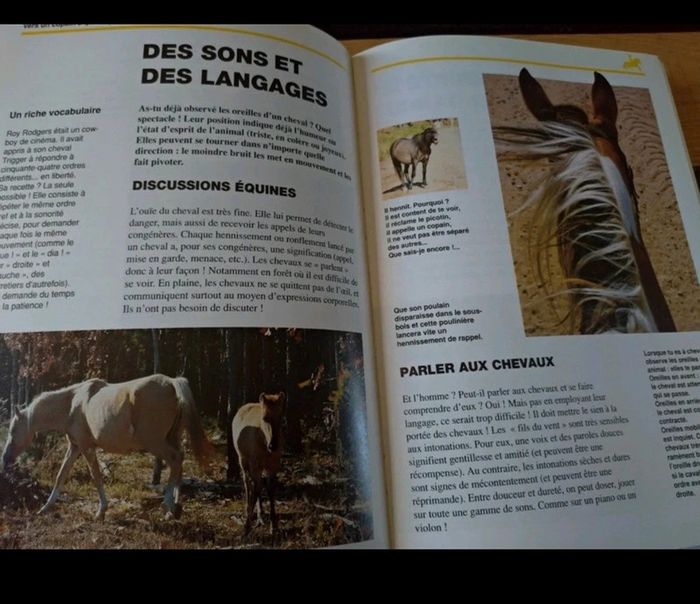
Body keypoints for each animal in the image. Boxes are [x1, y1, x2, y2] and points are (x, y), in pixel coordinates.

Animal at [1, 374, 212, 520]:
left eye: (13, 430)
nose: (6, 458)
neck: (72, 404)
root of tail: (172, 383)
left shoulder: (86, 447)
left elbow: (96, 476)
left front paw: (101, 511)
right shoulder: (75, 447)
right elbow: (61, 475)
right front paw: (46, 507)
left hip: (156, 443)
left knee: (175, 459)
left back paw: (168, 506)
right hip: (172, 438)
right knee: (180, 460)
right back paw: (175, 507)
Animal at [232, 391, 286, 536]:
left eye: (281, 417)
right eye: (265, 418)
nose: (274, 445)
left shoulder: (273, 465)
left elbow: (270, 490)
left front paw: (274, 526)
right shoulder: (254, 464)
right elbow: (256, 489)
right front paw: (246, 527)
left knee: (257, 484)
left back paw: (260, 515)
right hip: (242, 460)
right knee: (247, 483)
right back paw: (248, 511)